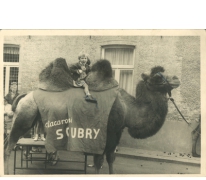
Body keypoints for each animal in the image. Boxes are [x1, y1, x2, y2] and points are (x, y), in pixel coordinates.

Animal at [3, 58, 180, 174]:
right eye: (157, 77)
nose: (177, 79)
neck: (127, 108)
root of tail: (24, 96)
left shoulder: (116, 132)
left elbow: (110, 158)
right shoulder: (105, 132)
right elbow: (100, 161)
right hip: (23, 117)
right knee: (9, 145)